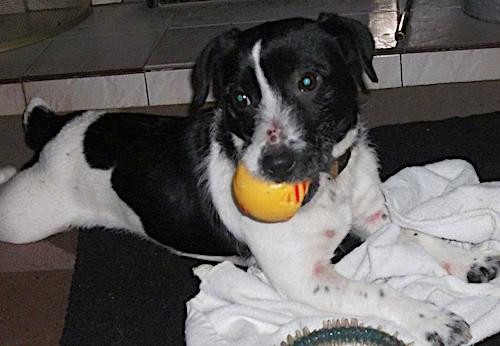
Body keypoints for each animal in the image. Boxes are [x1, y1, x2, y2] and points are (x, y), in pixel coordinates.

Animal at [2, 12, 496, 344]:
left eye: (309, 81)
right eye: (239, 98)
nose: (275, 165)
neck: (329, 186)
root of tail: (55, 126)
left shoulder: (374, 218)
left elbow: (417, 235)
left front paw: (467, 258)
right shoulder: (302, 276)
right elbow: (376, 292)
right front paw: (432, 319)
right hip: (25, 218)